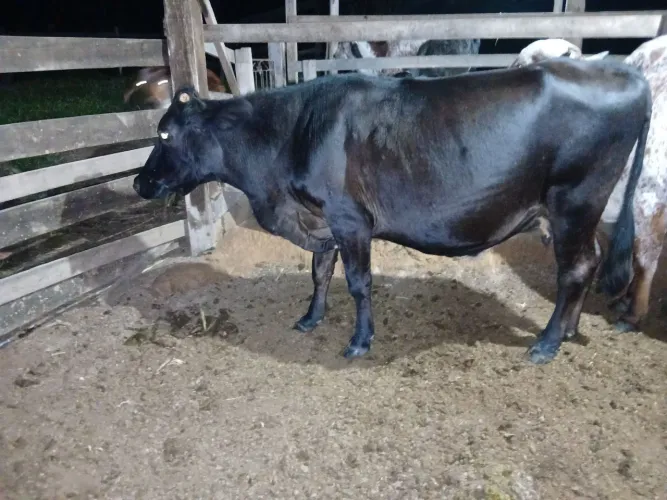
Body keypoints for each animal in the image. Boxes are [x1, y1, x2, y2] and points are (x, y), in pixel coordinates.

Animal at [132, 58, 652, 365]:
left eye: (165, 134)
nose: (139, 182)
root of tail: (624, 73)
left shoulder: (350, 219)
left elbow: (359, 283)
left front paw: (360, 340)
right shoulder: (322, 220)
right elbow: (320, 272)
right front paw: (311, 318)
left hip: (575, 200)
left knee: (575, 268)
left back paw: (546, 342)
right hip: (579, 210)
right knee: (589, 262)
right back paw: (568, 330)